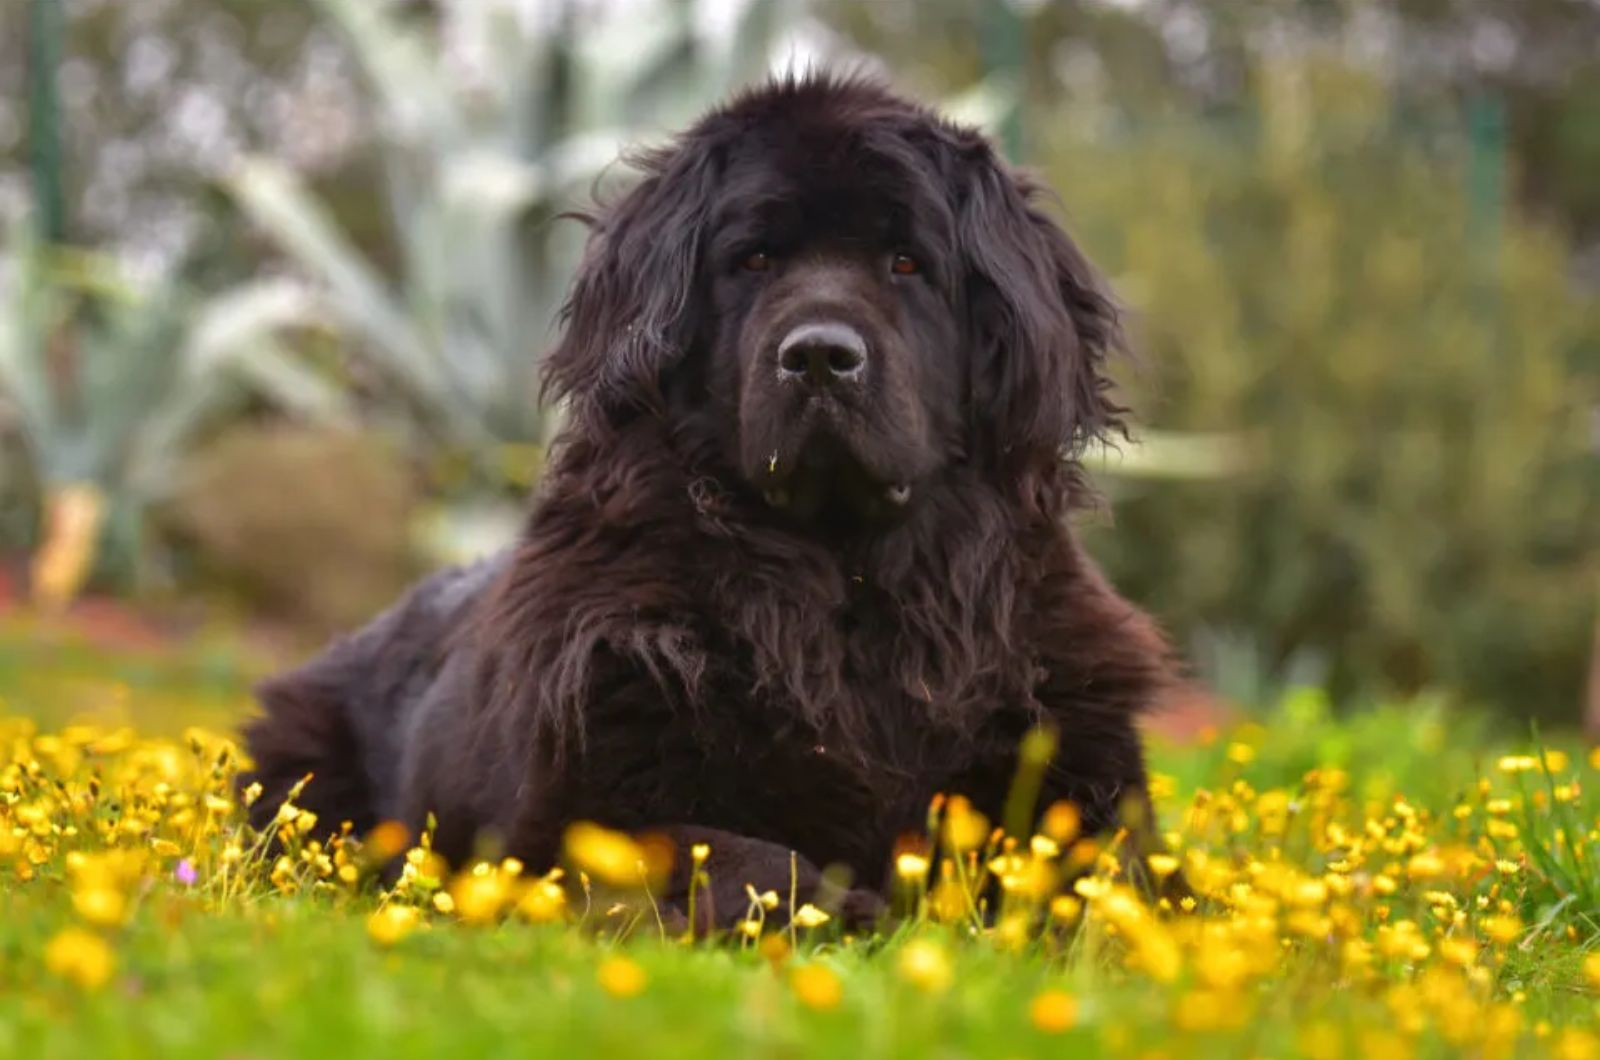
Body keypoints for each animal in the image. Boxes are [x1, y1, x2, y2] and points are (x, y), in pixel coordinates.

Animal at [243, 74, 1184, 928]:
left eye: (907, 263)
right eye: (754, 260)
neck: (848, 587)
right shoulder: (574, 811)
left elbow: (1120, 882)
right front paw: (860, 914)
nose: (819, 356)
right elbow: (747, 858)